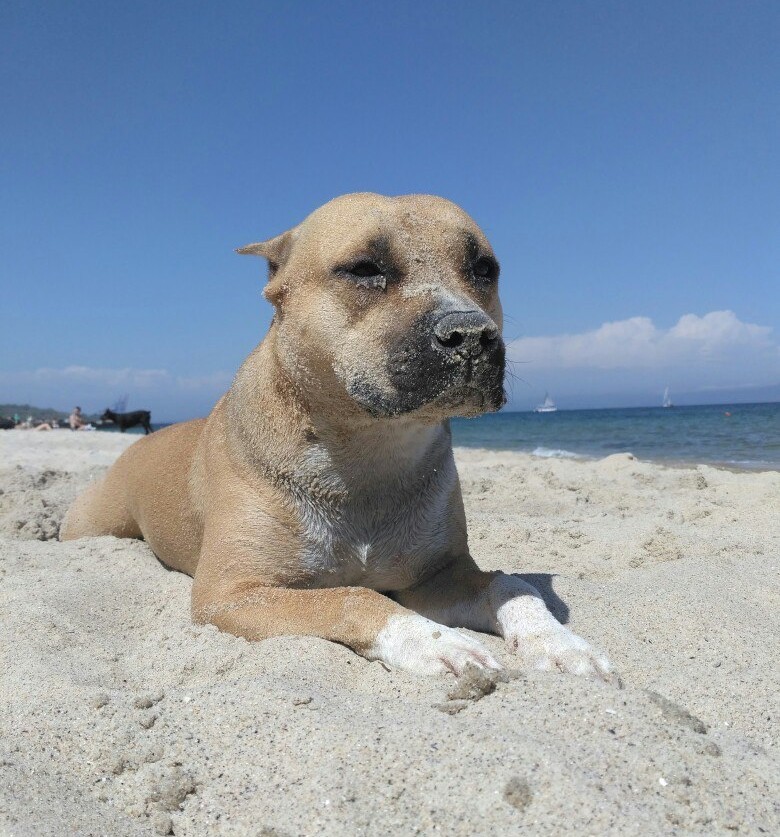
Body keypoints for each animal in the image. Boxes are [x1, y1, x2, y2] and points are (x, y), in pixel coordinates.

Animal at [61, 196, 612, 680]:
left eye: (484, 268)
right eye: (365, 269)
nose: (472, 333)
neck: (367, 451)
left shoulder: (436, 576)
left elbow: (510, 586)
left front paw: (560, 644)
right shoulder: (232, 593)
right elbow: (354, 595)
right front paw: (438, 643)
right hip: (92, 524)